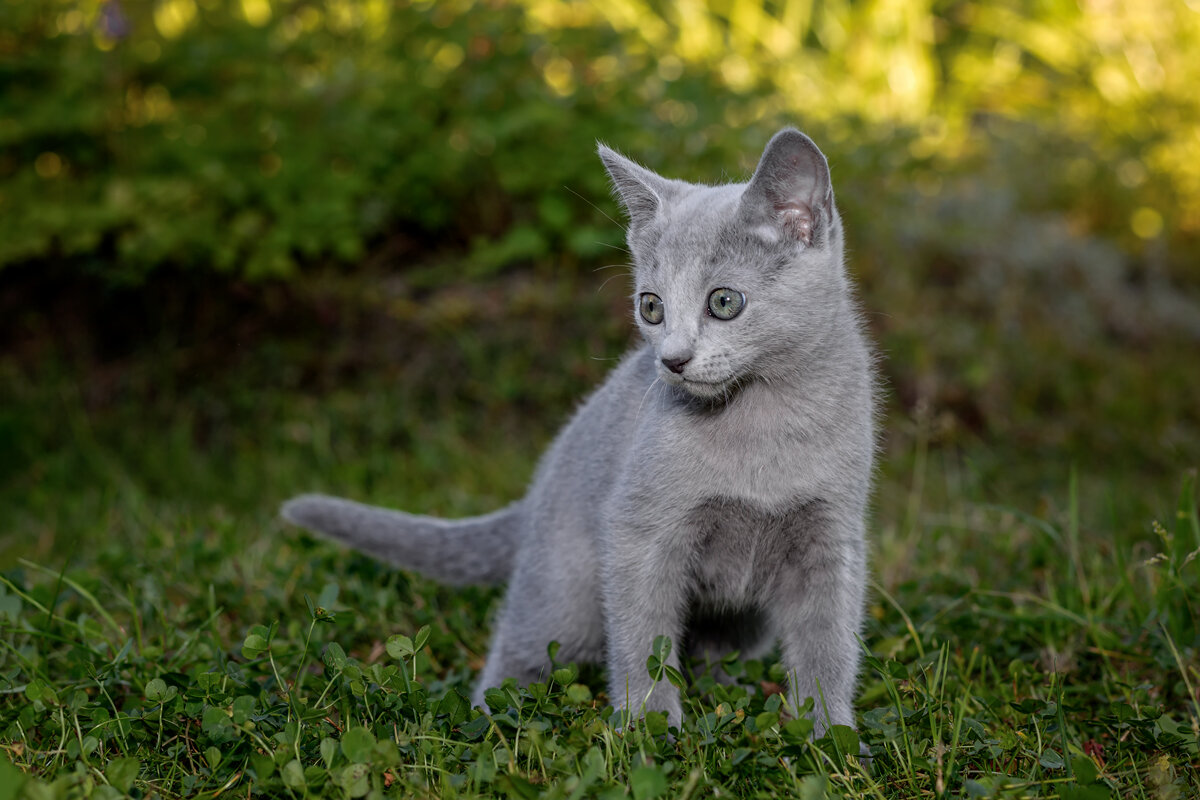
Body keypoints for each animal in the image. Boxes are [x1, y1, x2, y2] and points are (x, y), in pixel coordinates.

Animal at [285, 128, 878, 734]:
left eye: (724, 302)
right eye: (651, 307)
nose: (672, 360)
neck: (761, 418)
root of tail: (539, 484)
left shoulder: (832, 534)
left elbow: (828, 643)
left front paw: (829, 733)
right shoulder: (637, 531)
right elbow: (643, 637)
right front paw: (649, 726)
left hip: (741, 620)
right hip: (563, 592)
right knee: (520, 651)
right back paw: (492, 720)